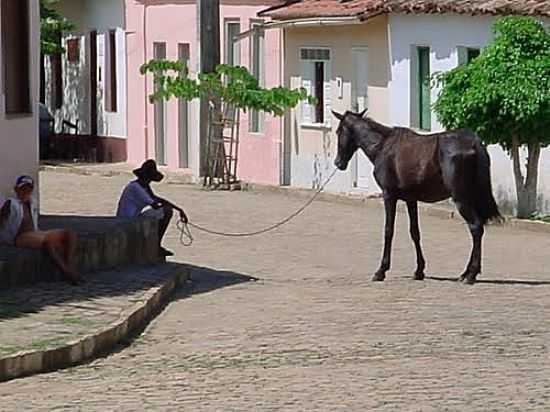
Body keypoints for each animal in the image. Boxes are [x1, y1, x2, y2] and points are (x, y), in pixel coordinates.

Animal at [332, 109, 504, 284]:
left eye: (339, 131)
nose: (338, 163)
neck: (383, 146)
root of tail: (473, 143)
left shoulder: (389, 196)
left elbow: (388, 231)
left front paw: (381, 270)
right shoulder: (411, 200)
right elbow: (415, 232)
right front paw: (419, 270)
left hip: (461, 198)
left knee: (476, 227)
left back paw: (470, 274)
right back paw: (467, 273)